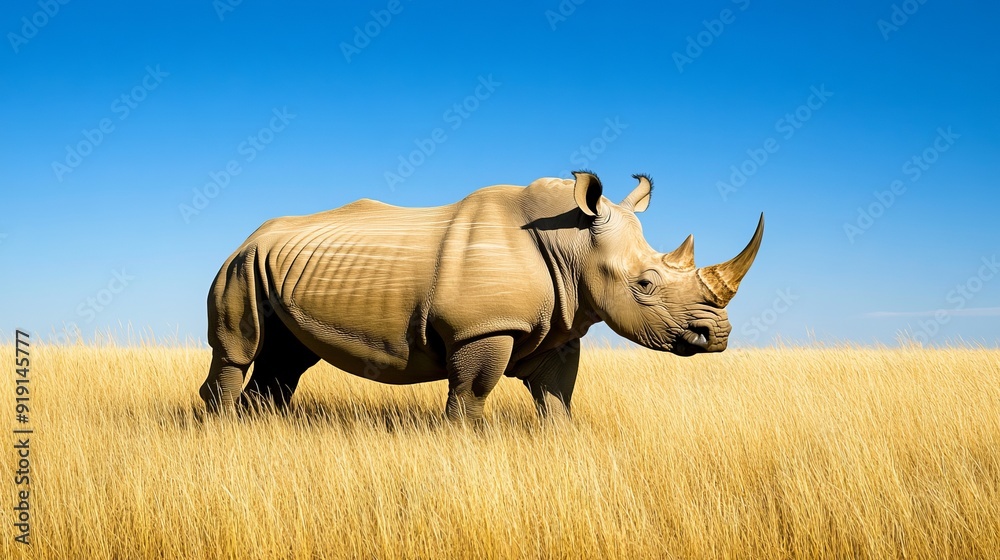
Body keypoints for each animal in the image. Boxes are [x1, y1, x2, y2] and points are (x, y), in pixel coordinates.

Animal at [199, 172, 763, 420]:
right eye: (644, 285)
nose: (717, 336)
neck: (573, 244)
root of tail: (248, 236)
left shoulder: (561, 328)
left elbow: (557, 397)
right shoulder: (483, 326)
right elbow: (471, 395)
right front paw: (463, 443)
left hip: (271, 267)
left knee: (286, 360)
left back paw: (261, 428)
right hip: (240, 266)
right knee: (238, 351)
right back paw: (223, 428)